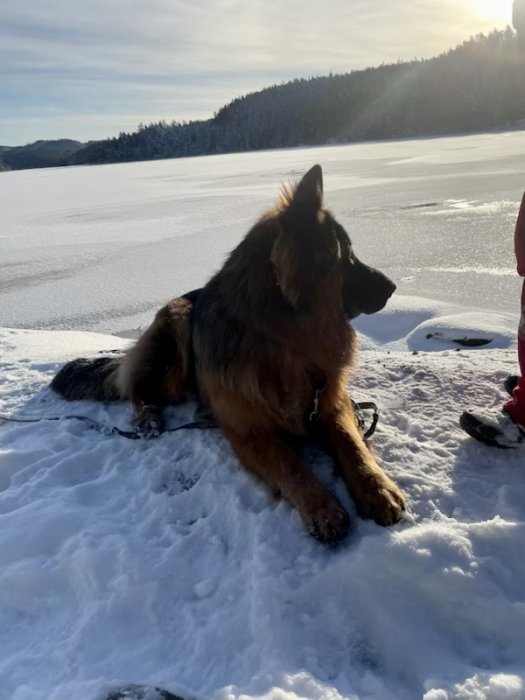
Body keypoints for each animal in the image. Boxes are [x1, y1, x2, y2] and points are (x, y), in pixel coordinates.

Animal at [51, 167, 406, 544]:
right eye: (348, 255)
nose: (393, 287)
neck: (282, 342)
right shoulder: (248, 430)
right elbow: (292, 467)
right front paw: (322, 509)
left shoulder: (331, 404)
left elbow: (352, 446)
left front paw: (378, 489)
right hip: (177, 329)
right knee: (140, 389)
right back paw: (148, 418)